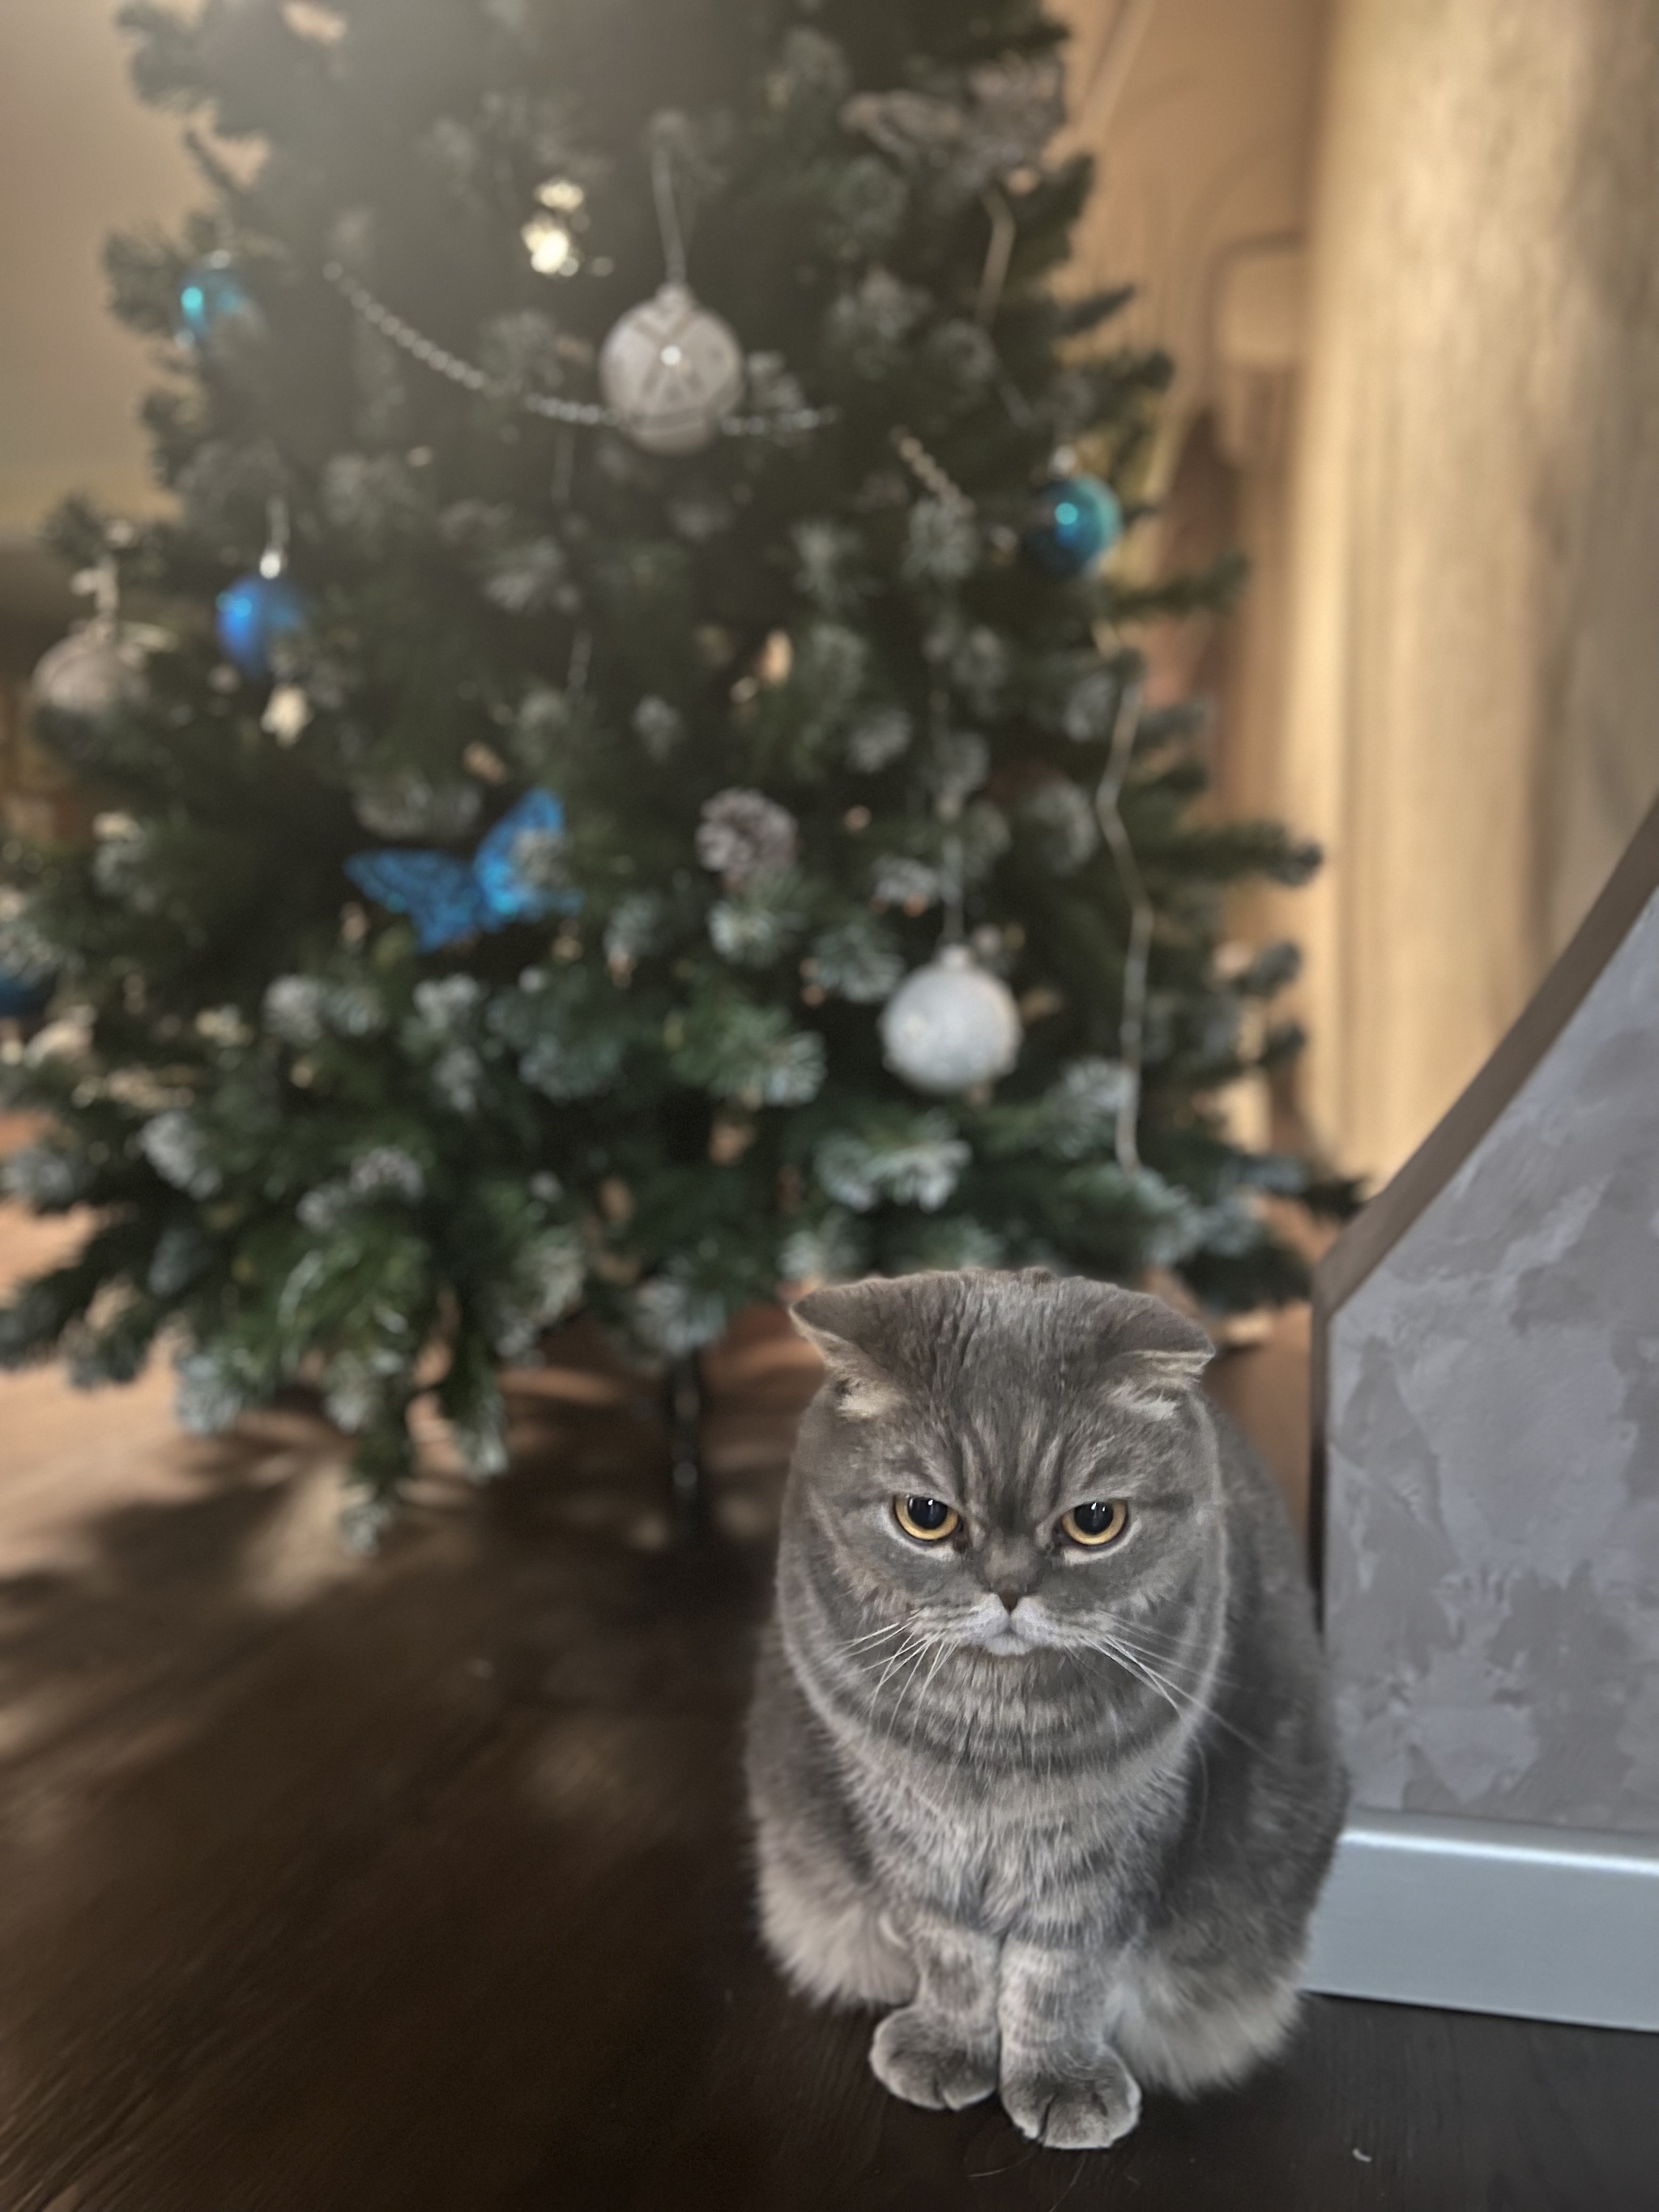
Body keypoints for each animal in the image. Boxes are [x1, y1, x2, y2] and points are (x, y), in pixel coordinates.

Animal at [752, 1274, 1354, 2150]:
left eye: (1094, 1521)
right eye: (925, 1515)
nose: (1007, 1588)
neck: (991, 1738)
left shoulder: (1109, 1836)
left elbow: (1060, 1971)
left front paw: (1062, 2080)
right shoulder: (903, 1821)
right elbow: (949, 1948)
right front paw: (946, 2047)